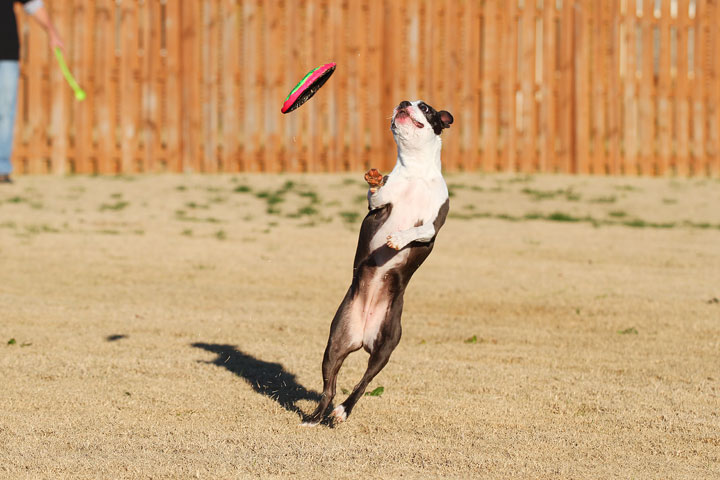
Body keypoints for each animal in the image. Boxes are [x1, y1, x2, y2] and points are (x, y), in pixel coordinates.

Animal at [300, 99, 452, 426]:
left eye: (426, 107)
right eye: (407, 101)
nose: (404, 103)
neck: (416, 172)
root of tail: (362, 334)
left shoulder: (432, 229)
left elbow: (416, 230)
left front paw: (397, 240)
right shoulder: (378, 208)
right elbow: (375, 195)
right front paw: (372, 181)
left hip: (386, 345)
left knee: (364, 381)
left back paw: (343, 411)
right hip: (335, 342)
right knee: (330, 386)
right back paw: (318, 416)